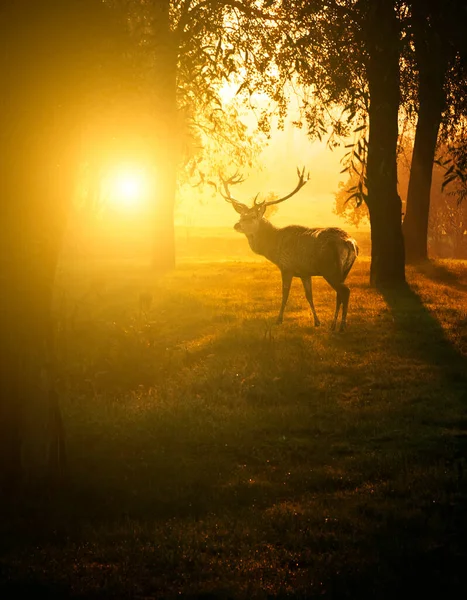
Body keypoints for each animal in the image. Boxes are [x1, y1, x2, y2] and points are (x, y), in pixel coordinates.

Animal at [221, 168, 360, 332]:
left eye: (253, 216)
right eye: (241, 215)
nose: (237, 225)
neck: (274, 248)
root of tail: (350, 242)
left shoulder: (287, 267)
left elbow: (285, 294)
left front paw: (278, 319)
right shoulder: (305, 273)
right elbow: (309, 296)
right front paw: (317, 322)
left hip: (330, 269)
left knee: (345, 291)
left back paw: (342, 326)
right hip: (344, 270)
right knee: (340, 293)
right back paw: (333, 325)